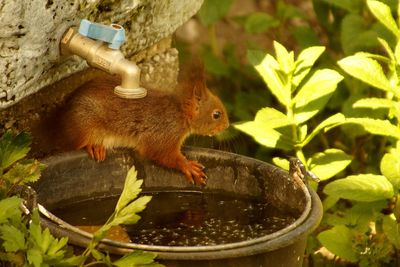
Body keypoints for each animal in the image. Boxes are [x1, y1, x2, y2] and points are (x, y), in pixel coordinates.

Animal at [52, 65, 230, 186]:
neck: (179, 113)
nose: (227, 125)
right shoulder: (164, 133)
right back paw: (94, 146)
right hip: (83, 124)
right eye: (216, 114)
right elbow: (161, 153)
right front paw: (188, 166)